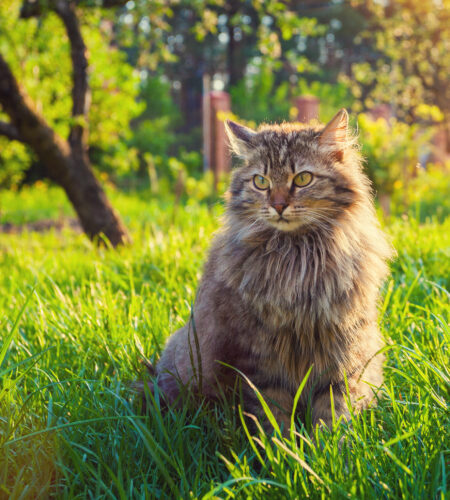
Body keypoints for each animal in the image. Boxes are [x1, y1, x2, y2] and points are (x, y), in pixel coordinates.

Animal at [142, 109, 392, 434]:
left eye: (303, 178)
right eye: (261, 181)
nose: (278, 205)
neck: (297, 257)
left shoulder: (344, 346)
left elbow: (335, 409)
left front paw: (328, 445)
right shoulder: (259, 355)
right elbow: (272, 415)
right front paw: (284, 446)